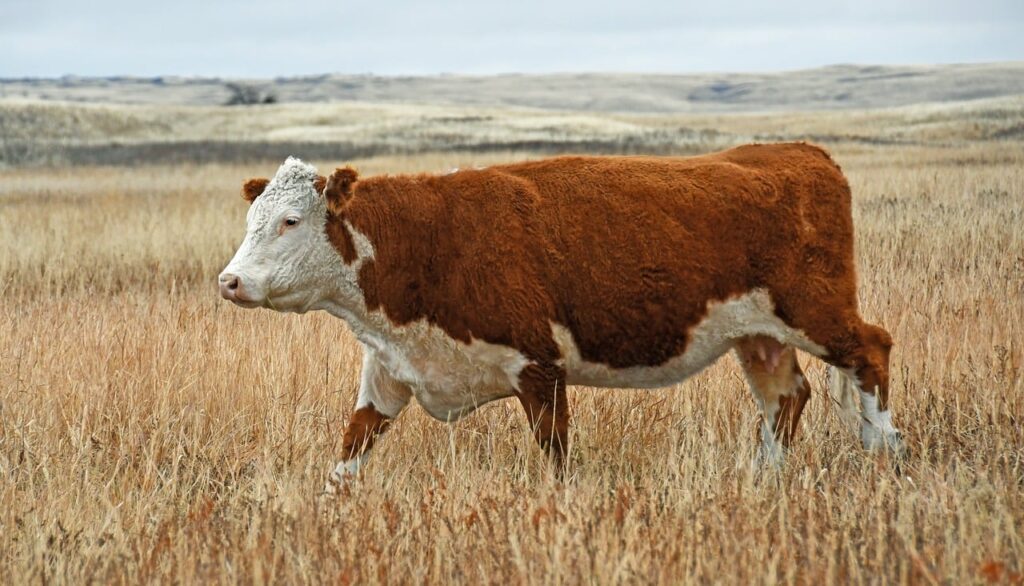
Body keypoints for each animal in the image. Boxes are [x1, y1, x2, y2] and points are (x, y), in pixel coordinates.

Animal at [218, 143, 905, 489]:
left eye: (290, 221)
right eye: (253, 219)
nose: (230, 281)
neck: (426, 242)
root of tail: (799, 151)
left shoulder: (538, 366)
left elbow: (554, 456)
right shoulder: (388, 372)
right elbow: (350, 450)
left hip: (817, 310)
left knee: (872, 349)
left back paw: (885, 453)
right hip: (758, 333)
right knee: (785, 395)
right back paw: (762, 478)